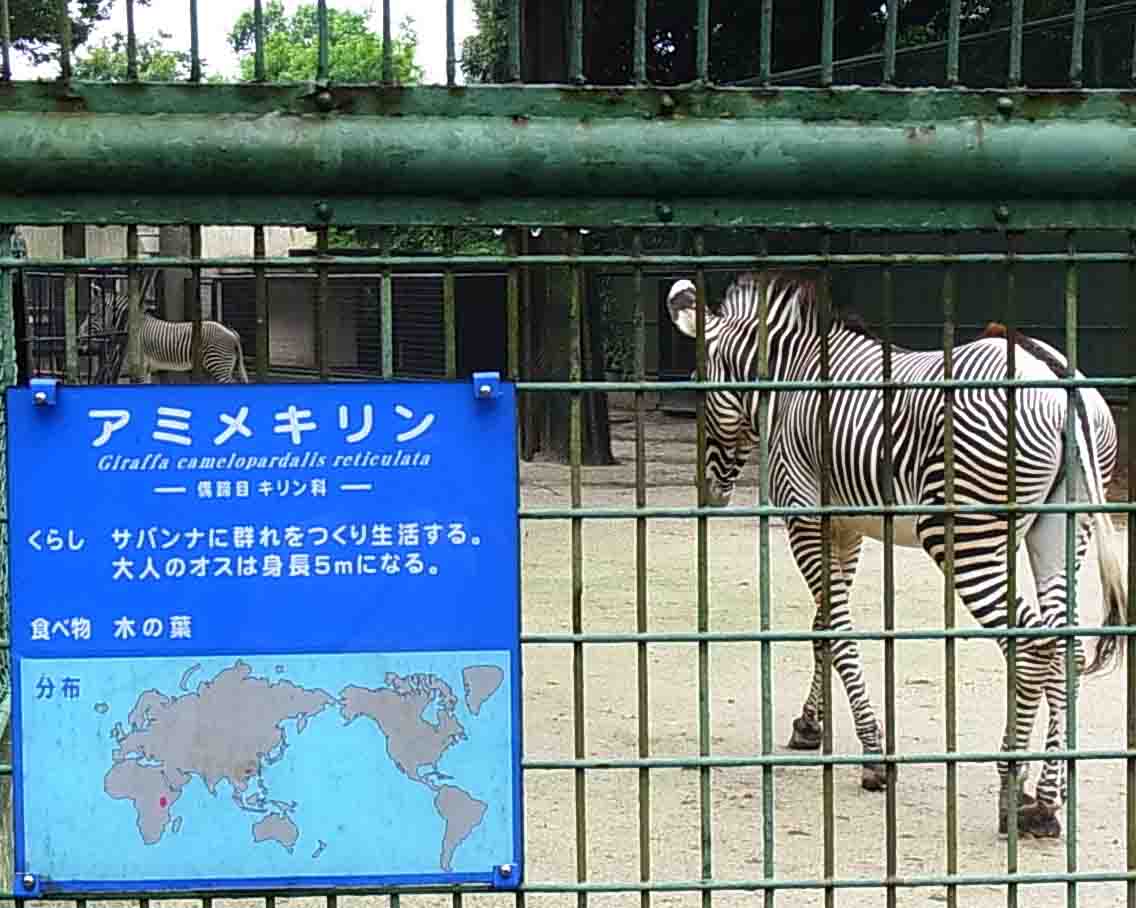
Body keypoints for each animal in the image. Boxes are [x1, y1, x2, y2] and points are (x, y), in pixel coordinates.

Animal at [79, 284, 248, 384]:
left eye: (91, 314)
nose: (80, 338)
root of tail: (232, 334)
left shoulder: (140, 366)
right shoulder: (146, 369)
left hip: (218, 364)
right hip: (221, 366)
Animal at [663, 271, 1126, 845]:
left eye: (696, 387)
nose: (709, 494)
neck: (794, 375)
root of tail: (1056, 379)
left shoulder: (805, 517)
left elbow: (839, 634)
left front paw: (873, 755)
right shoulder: (846, 527)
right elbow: (822, 628)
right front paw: (810, 725)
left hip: (964, 534)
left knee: (1031, 646)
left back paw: (1010, 792)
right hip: (1059, 529)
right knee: (1064, 644)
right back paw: (1046, 801)